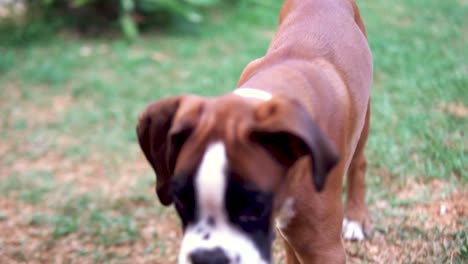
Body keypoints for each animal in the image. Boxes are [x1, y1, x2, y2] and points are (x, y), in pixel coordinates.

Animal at [136, 0, 372, 262]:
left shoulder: (323, 249)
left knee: (359, 163)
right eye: (181, 202)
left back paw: (356, 218)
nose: (209, 257)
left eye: (254, 208)